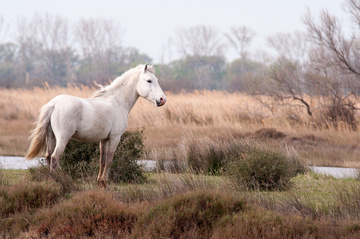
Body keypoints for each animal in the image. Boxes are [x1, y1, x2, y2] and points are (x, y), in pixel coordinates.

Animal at [26, 64, 167, 188]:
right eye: (149, 80)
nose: (162, 100)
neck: (118, 102)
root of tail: (54, 104)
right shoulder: (115, 138)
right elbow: (109, 160)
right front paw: (105, 183)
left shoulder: (104, 139)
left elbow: (102, 160)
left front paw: (100, 183)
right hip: (63, 138)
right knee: (55, 157)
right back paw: (58, 181)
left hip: (51, 136)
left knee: (48, 156)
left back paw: (52, 179)